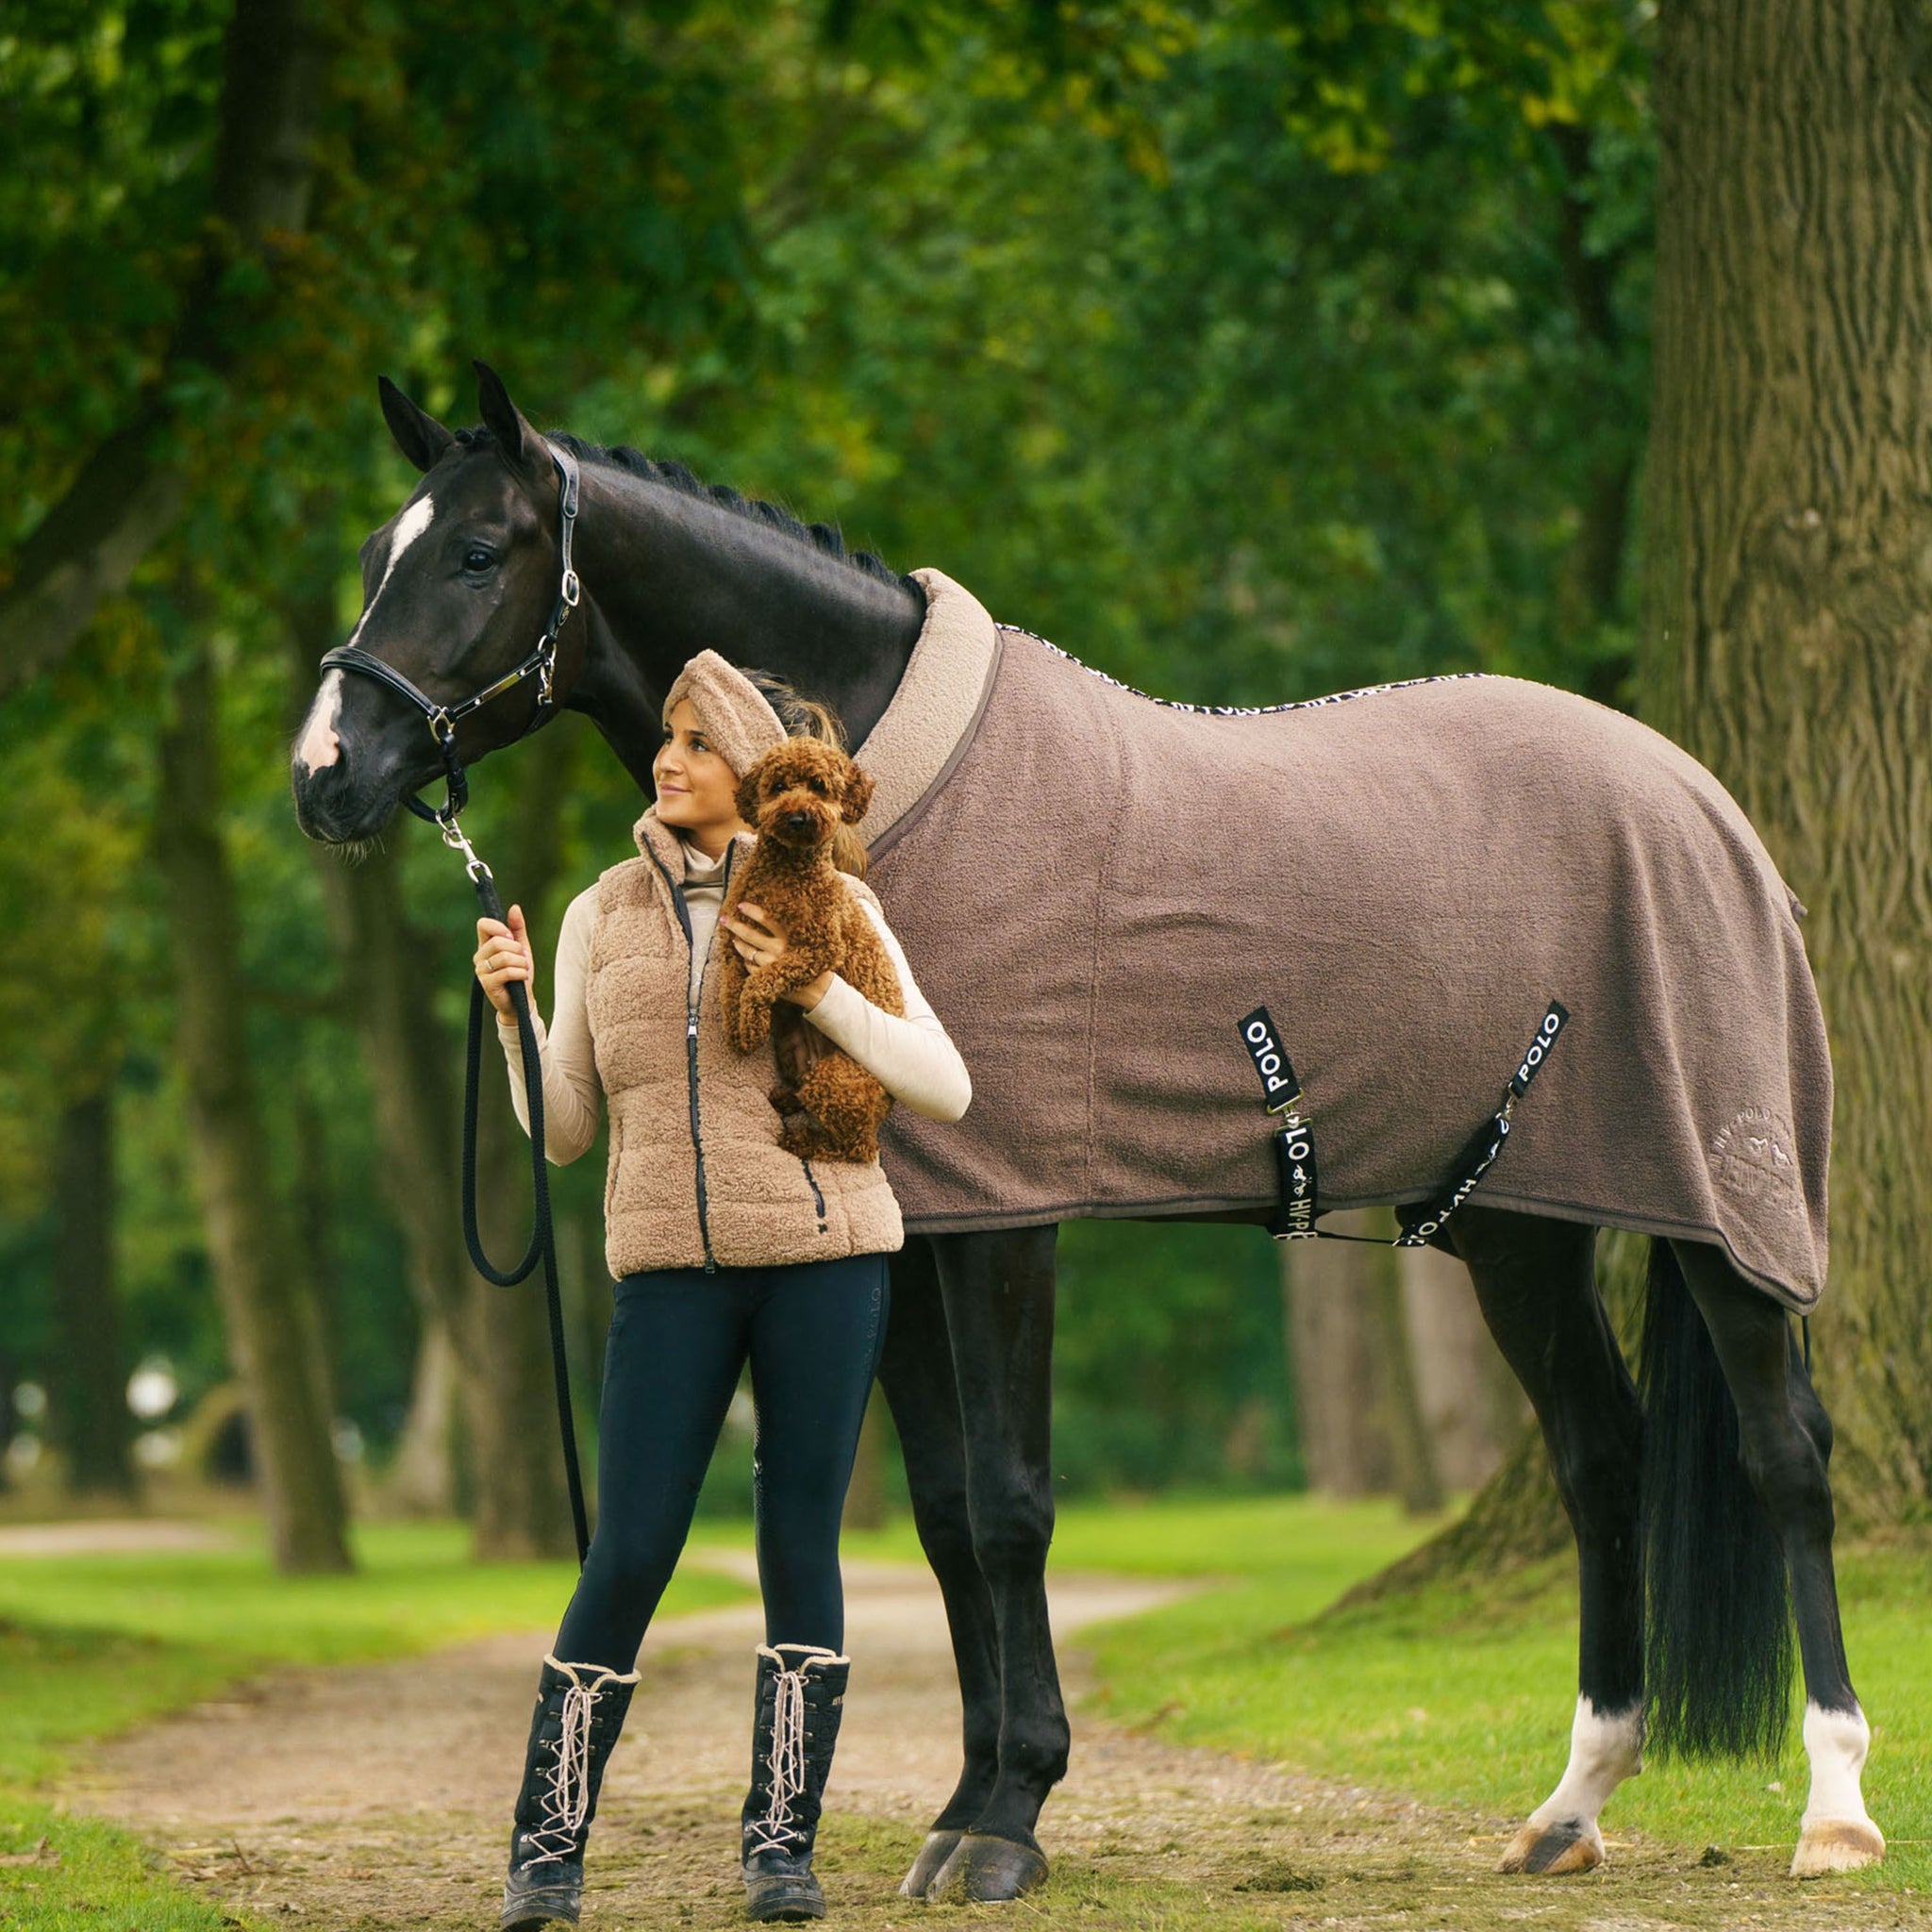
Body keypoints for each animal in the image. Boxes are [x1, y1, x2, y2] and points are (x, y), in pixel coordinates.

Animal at [718, 738, 904, 1158]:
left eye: (819, 786)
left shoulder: (820, 949)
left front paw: (753, 1025)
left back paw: (802, 1140)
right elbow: (731, 988)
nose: (798, 817)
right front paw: (738, 1033)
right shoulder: (732, 940)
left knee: (855, 1148)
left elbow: (761, 982)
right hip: (791, 1051)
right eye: (778, 787)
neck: (786, 871)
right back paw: (788, 1099)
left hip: (837, 1081)